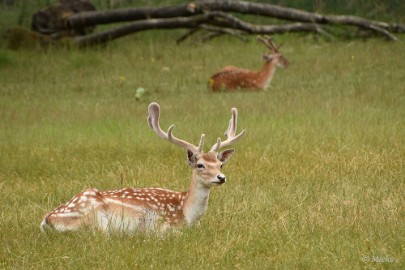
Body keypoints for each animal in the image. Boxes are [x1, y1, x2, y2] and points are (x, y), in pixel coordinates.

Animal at [39, 102, 245, 233]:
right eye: (200, 165)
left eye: (220, 164)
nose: (221, 177)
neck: (187, 213)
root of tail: (46, 220)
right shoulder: (161, 227)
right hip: (96, 221)